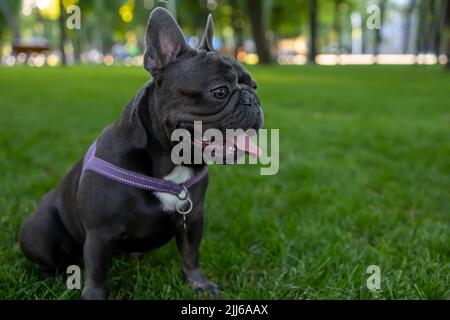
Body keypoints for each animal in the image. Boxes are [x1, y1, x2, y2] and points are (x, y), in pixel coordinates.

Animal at [20, 8, 264, 300]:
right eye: (219, 91)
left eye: (254, 86)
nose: (253, 100)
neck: (170, 164)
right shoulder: (99, 234)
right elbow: (96, 273)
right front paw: (93, 296)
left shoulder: (193, 219)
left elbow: (190, 255)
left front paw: (199, 284)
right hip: (40, 230)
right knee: (50, 258)